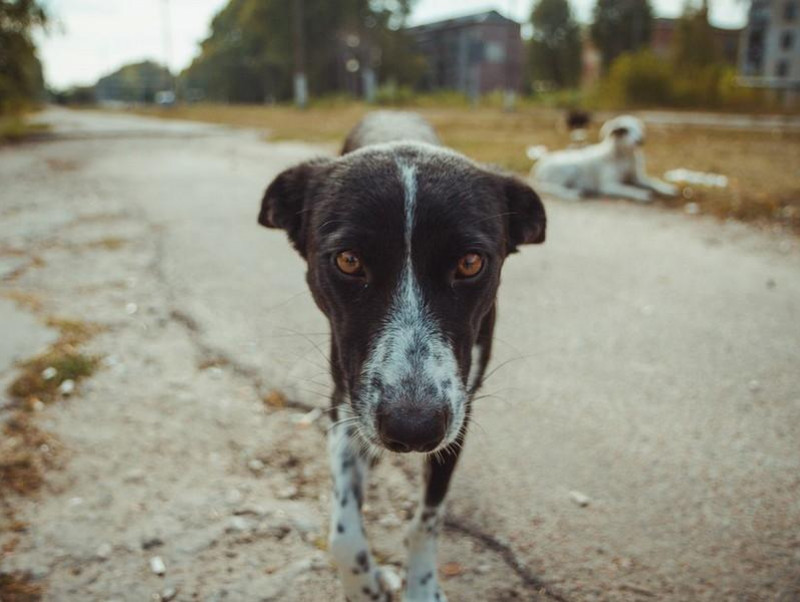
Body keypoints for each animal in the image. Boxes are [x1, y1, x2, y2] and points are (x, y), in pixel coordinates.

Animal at [260, 110, 548, 596]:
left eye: (471, 263)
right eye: (348, 260)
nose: (412, 429)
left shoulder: (460, 411)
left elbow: (427, 520)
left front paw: (421, 587)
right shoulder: (347, 400)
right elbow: (344, 534)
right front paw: (367, 587)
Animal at [536, 113, 680, 203]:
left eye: (638, 127)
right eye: (624, 130)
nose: (640, 141)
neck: (625, 156)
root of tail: (537, 168)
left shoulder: (637, 177)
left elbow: (653, 181)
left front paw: (668, 188)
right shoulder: (609, 185)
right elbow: (628, 189)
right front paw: (642, 194)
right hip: (569, 169)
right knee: (548, 187)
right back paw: (572, 193)